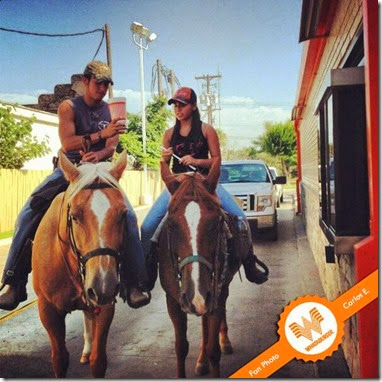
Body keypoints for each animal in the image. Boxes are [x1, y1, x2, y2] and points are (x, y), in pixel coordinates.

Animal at [32, 151, 127, 378]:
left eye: (123, 214)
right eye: (74, 217)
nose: (103, 285)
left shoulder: (106, 305)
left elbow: (98, 360)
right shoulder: (47, 310)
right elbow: (59, 359)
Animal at [157, 160, 245, 378]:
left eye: (217, 222)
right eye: (171, 224)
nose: (195, 294)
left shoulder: (214, 294)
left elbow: (214, 349)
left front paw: (215, 350)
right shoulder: (174, 300)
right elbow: (181, 347)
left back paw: (223, 343)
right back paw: (201, 361)